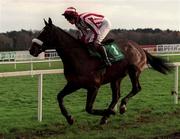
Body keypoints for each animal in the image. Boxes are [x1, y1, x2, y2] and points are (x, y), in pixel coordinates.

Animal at [28, 17, 171, 125]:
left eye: (45, 33)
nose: (31, 50)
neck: (79, 58)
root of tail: (140, 48)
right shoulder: (74, 84)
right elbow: (59, 97)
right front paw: (69, 118)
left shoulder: (94, 86)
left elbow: (89, 108)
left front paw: (111, 112)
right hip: (116, 78)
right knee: (116, 96)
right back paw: (106, 116)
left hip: (133, 71)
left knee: (136, 88)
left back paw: (121, 107)